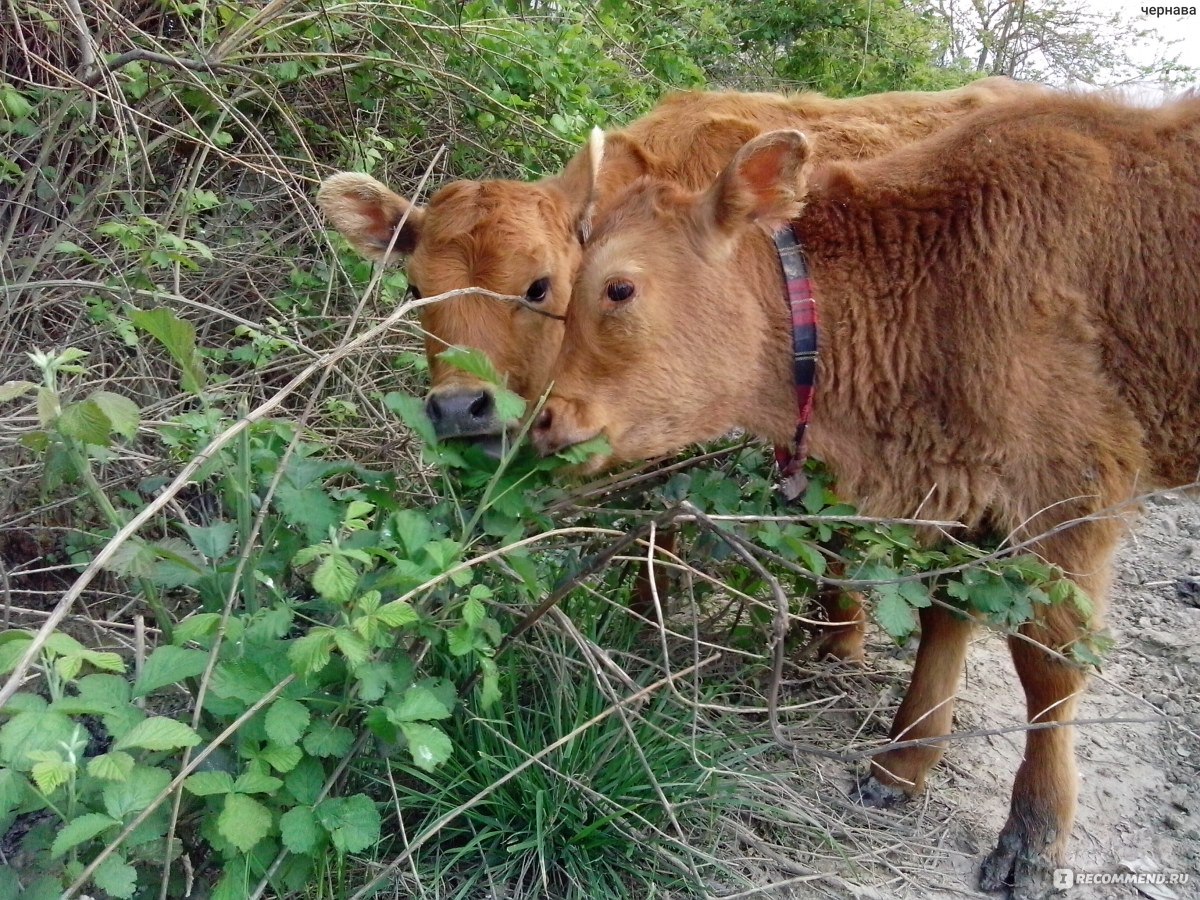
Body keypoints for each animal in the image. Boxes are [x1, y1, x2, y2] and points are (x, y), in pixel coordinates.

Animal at [532, 93, 1200, 900]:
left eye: (619, 288)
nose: (542, 418)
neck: (944, 273)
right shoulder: (970, 489)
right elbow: (946, 617)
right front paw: (903, 763)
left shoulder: (1067, 500)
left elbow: (1049, 663)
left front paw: (1034, 837)